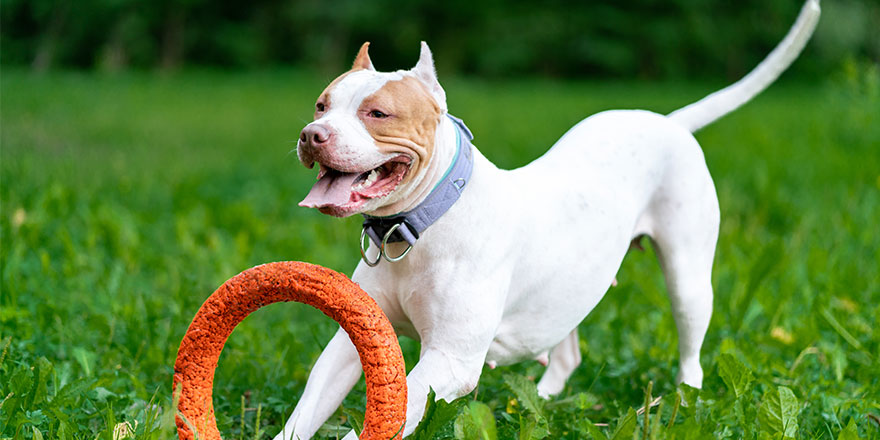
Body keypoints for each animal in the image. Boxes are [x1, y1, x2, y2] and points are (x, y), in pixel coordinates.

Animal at [276, 1, 820, 438]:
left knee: (691, 345)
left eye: (378, 114)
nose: (312, 134)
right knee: (568, 346)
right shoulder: (353, 340)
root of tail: (668, 122)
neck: (417, 226)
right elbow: (308, 408)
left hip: (688, 278)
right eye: (321, 105)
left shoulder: (451, 360)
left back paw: (683, 400)